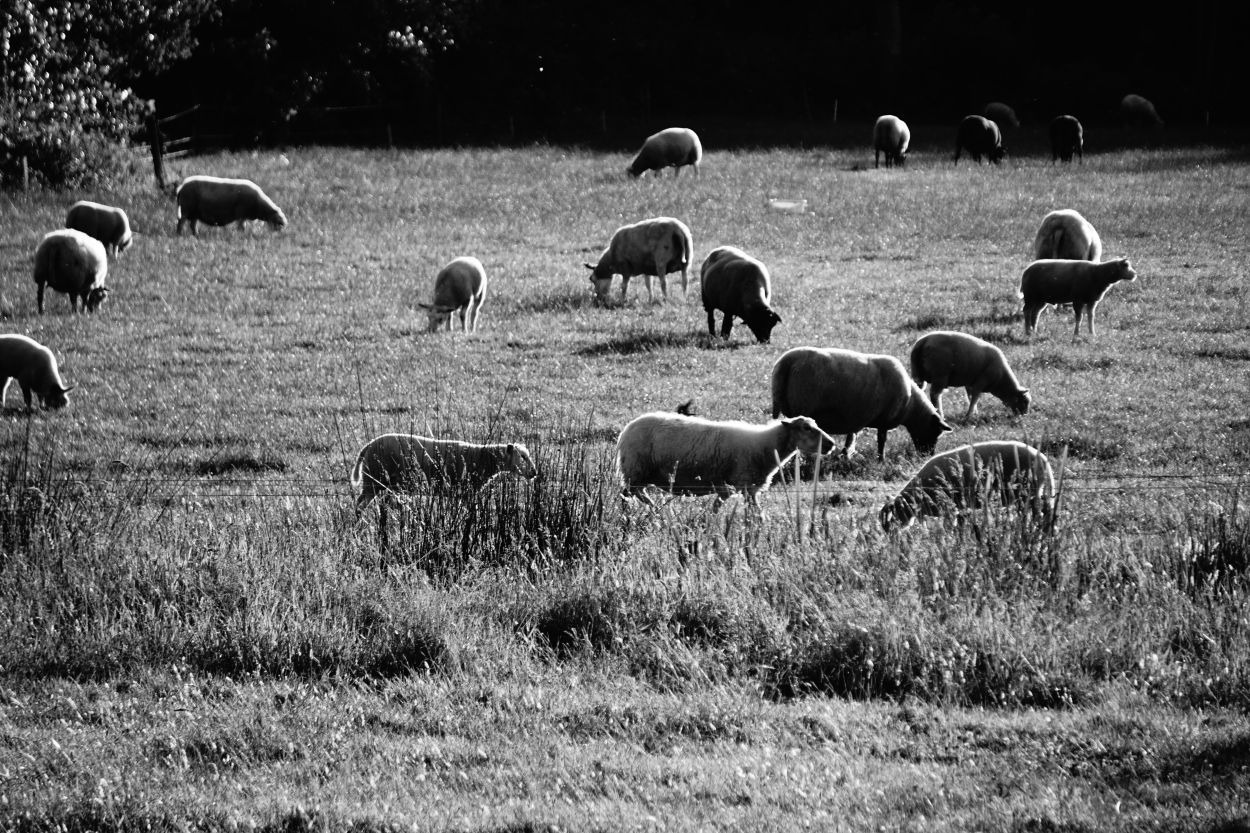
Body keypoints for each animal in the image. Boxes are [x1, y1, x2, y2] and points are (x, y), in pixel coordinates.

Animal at [350, 430, 540, 542]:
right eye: (522, 457)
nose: (534, 472)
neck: (483, 459)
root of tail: (368, 445)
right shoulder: (467, 491)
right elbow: (473, 513)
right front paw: (473, 529)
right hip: (373, 480)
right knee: (361, 505)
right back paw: (361, 525)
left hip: (380, 483)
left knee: (371, 504)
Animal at [612, 412, 830, 510]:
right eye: (806, 428)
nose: (832, 444)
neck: (766, 445)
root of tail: (625, 431)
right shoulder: (742, 483)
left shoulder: (744, 488)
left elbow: (753, 513)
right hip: (635, 469)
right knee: (629, 493)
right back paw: (649, 509)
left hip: (641, 473)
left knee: (633, 493)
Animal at [765, 342, 950, 460]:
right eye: (936, 432)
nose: (927, 456)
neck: (911, 407)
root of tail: (786, 362)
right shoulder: (884, 420)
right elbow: (881, 441)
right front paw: (880, 460)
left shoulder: (856, 418)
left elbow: (851, 436)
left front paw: (845, 455)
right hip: (803, 406)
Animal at [880, 437, 1055, 527]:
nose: (892, 541)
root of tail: (1043, 459)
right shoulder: (958, 507)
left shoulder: (948, 506)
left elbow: (949, 526)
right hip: (1032, 492)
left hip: (1025, 492)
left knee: (1035, 513)